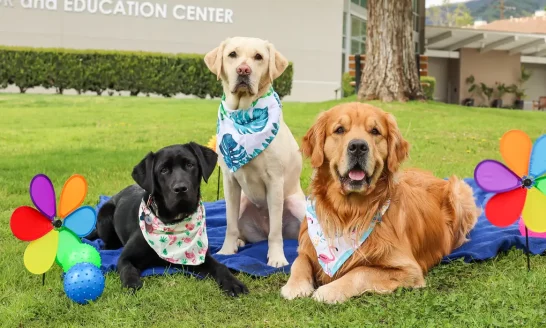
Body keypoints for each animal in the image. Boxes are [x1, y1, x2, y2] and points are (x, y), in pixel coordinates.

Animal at [90, 142, 249, 296]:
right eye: (163, 170)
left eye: (190, 164)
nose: (180, 188)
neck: (173, 221)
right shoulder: (125, 257)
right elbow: (127, 269)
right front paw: (132, 284)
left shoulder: (200, 257)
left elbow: (220, 266)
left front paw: (232, 282)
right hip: (105, 214)